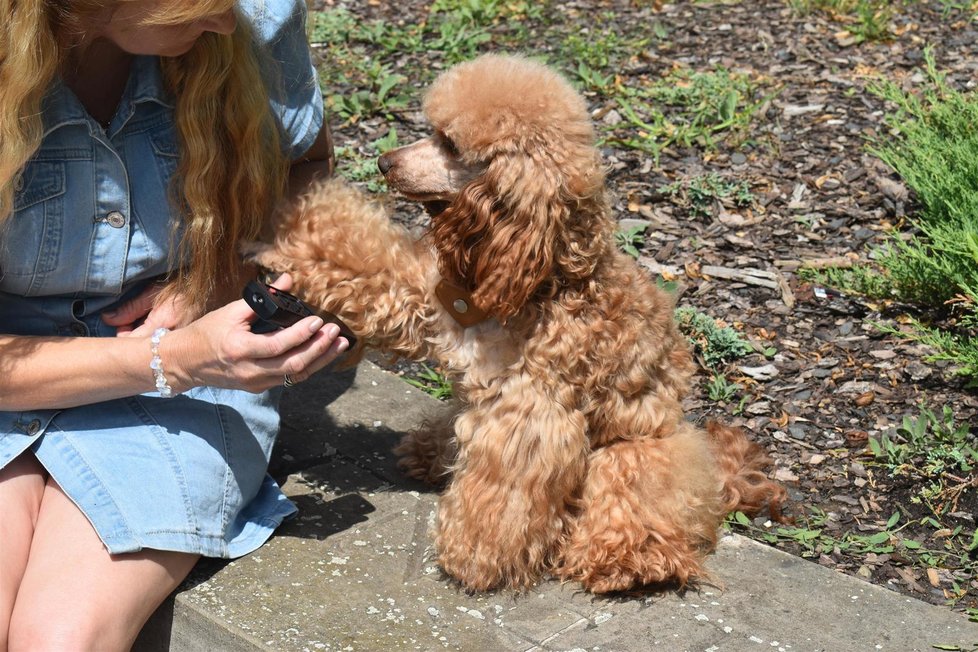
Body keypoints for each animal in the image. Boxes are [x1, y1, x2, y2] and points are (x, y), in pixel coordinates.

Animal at [248, 53, 780, 592]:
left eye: (450, 144)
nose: (384, 162)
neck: (543, 281)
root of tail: (719, 475)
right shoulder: (427, 303)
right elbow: (365, 260)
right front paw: (296, 223)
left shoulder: (529, 411)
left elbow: (504, 489)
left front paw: (474, 555)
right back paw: (430, 452)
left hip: (637, 452)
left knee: (634, 506)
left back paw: (626, 561)